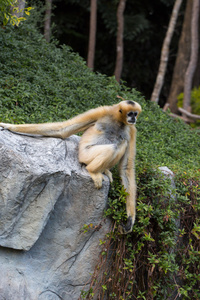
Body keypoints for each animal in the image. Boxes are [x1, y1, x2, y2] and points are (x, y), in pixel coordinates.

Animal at [0, 97, 141, 233]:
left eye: (135, 114)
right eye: (130, 114)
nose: (133, 118)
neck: (119, 120)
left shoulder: (132, 129)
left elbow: (126, 168)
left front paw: (130, 219)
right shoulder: (102, 111)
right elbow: (64, 128)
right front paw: (9, 126)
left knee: (122, 143)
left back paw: (104, 170)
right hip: (85, 154)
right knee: (114, 147)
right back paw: (93, 171)